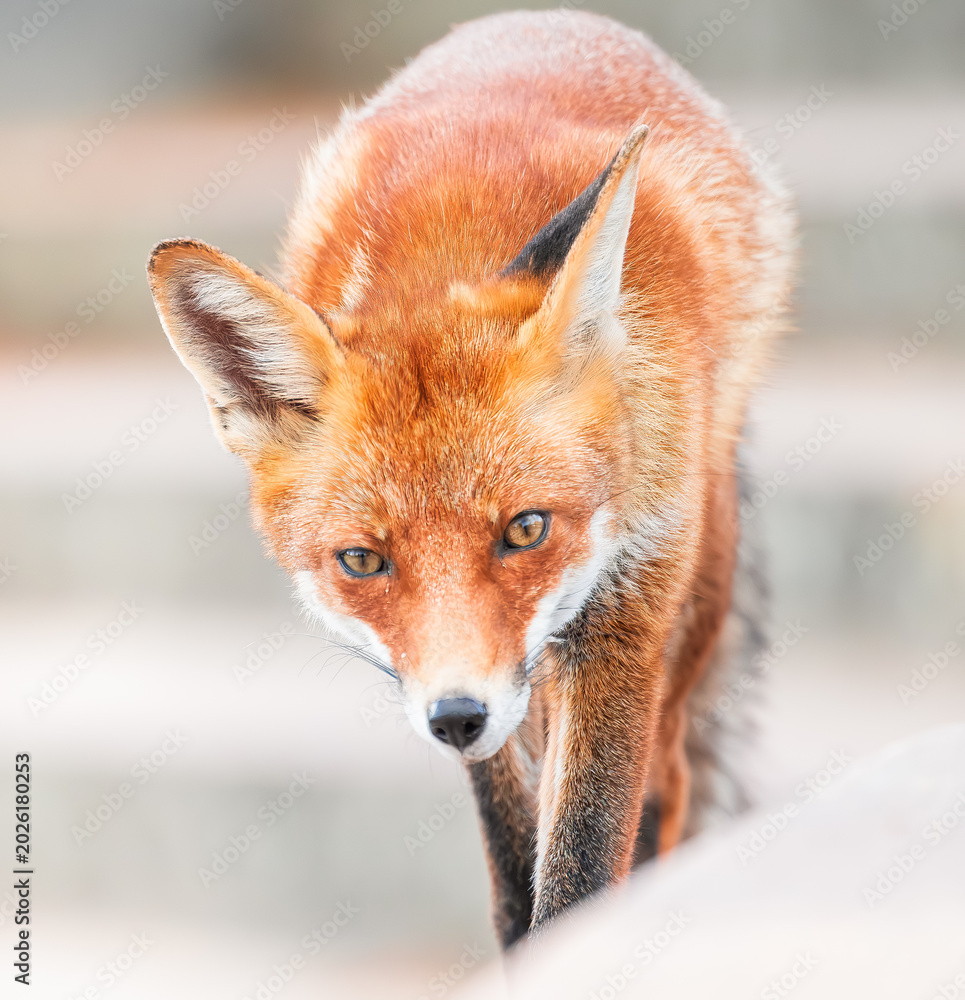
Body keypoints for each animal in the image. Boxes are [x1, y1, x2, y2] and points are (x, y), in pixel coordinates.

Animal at [147, 10, 793, 948]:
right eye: (361, 561)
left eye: (525, 528)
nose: (457, 716)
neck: (449, 240)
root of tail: (539, 17)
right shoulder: (470, 692)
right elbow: (517, 882)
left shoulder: (628, 608)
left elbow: (585, 858)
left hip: (691, 578)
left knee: (668, 783)